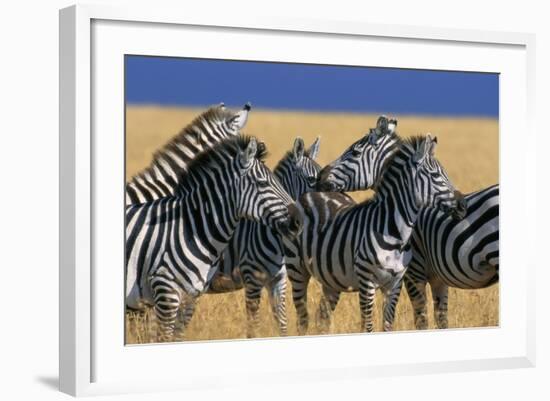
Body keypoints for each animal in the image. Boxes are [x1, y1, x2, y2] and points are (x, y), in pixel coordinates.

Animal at [286, 133, 468, 332]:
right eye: (435, 175)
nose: (463, 206)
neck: (396, 233)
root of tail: (308, 194)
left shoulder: (395, 284)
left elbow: (387, 325)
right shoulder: (367, 282)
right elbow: (368, 326)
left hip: (331, 278)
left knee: (322, 317)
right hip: (296, 269)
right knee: (302, 318)